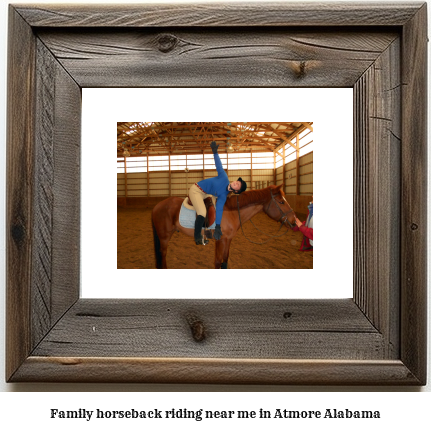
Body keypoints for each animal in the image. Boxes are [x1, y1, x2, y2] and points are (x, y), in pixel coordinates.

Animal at [152, 184, 296, 268]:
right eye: (281, 202)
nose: (294, 221)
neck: (230, 210)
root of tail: (157, 206)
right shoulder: (220, 241)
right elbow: (217, 262)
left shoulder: (228, 239)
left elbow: (225, 260)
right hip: (164, 237)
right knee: (163, 254)